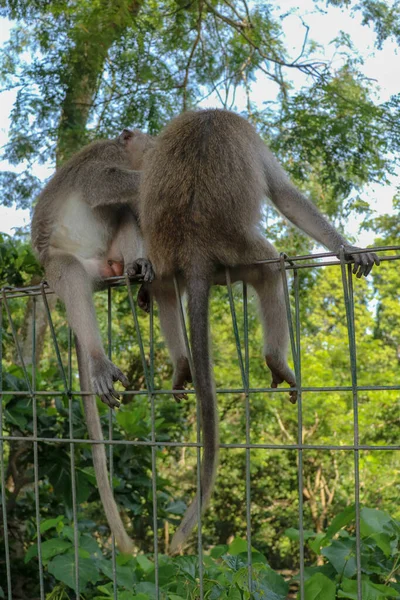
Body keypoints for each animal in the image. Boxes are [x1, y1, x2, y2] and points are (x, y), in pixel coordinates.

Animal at [139, 109, 380, 552]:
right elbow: (286, 196)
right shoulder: (251, 137)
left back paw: (181, 363)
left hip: (170, 256)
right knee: (271, 271)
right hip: (241, 252)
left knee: (165, 287)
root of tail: (195, 245)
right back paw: (276, 361)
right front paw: (347, 246)